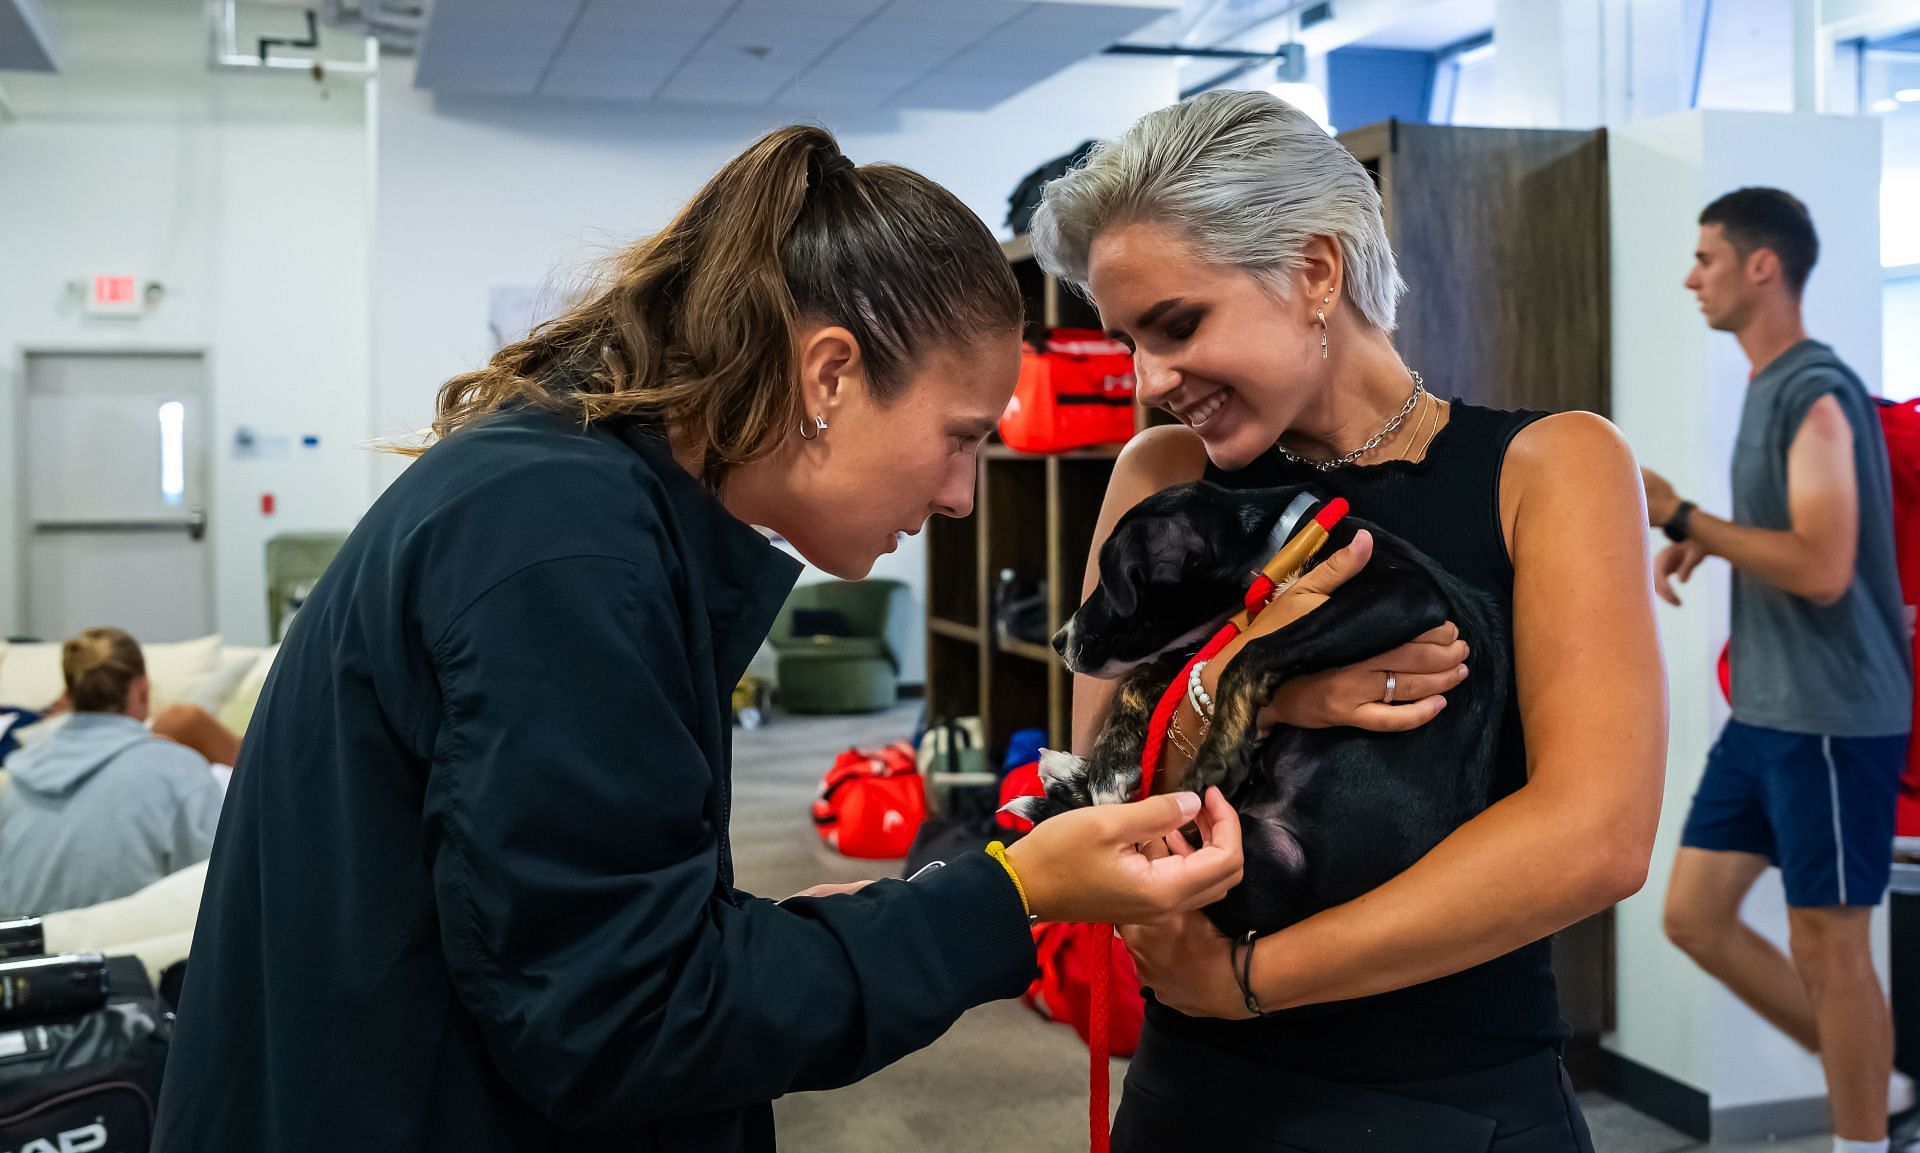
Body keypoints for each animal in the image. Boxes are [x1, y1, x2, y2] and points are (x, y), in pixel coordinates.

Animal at [1013, 481, 1505, 940]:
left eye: (1113, 582)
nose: (1058, 640)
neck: (1277, 541)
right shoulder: (1202, 646)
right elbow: (1141, 679)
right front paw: (1110, 763)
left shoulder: (1405, 594)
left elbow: (1253, 651)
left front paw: (1217, 751)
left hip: (1263, 852)